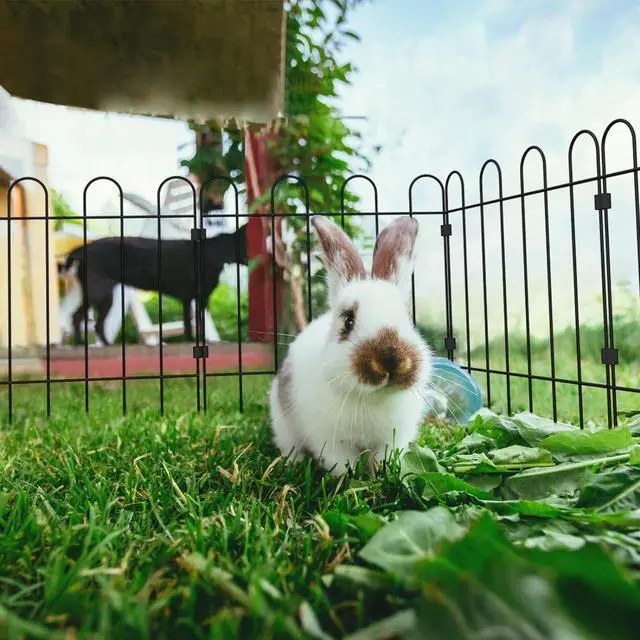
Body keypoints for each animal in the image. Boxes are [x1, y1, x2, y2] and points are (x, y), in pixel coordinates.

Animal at [269, 214, 432, 477]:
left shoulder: (391, 440)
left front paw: (382, 475)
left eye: (408, 319)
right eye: (348, 321)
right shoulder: (332, 441)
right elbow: (344, 464)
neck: (371, 397)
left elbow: (381, 459)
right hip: (283, 425)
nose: (390, 360)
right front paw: (351, 479)